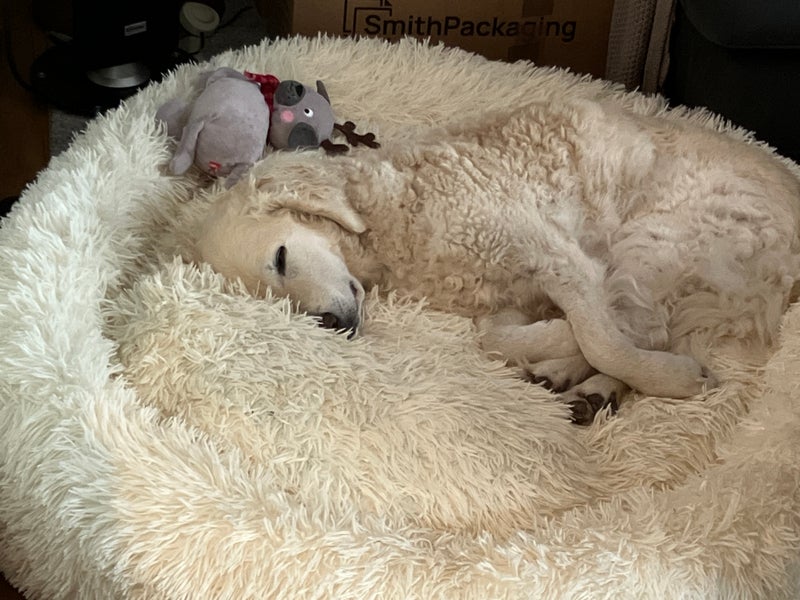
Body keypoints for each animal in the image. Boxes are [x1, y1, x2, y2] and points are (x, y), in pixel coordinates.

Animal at [194, 99, 800, 423]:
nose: (332, 324)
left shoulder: (560, 257)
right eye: (276, 305)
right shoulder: (507, 298)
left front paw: (666, 376)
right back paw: (583, 387)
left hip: (652, 240)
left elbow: (601, 335)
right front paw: (555, 344)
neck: (392, 216)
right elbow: (498, 339)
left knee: (646, 330)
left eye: (280, 258)